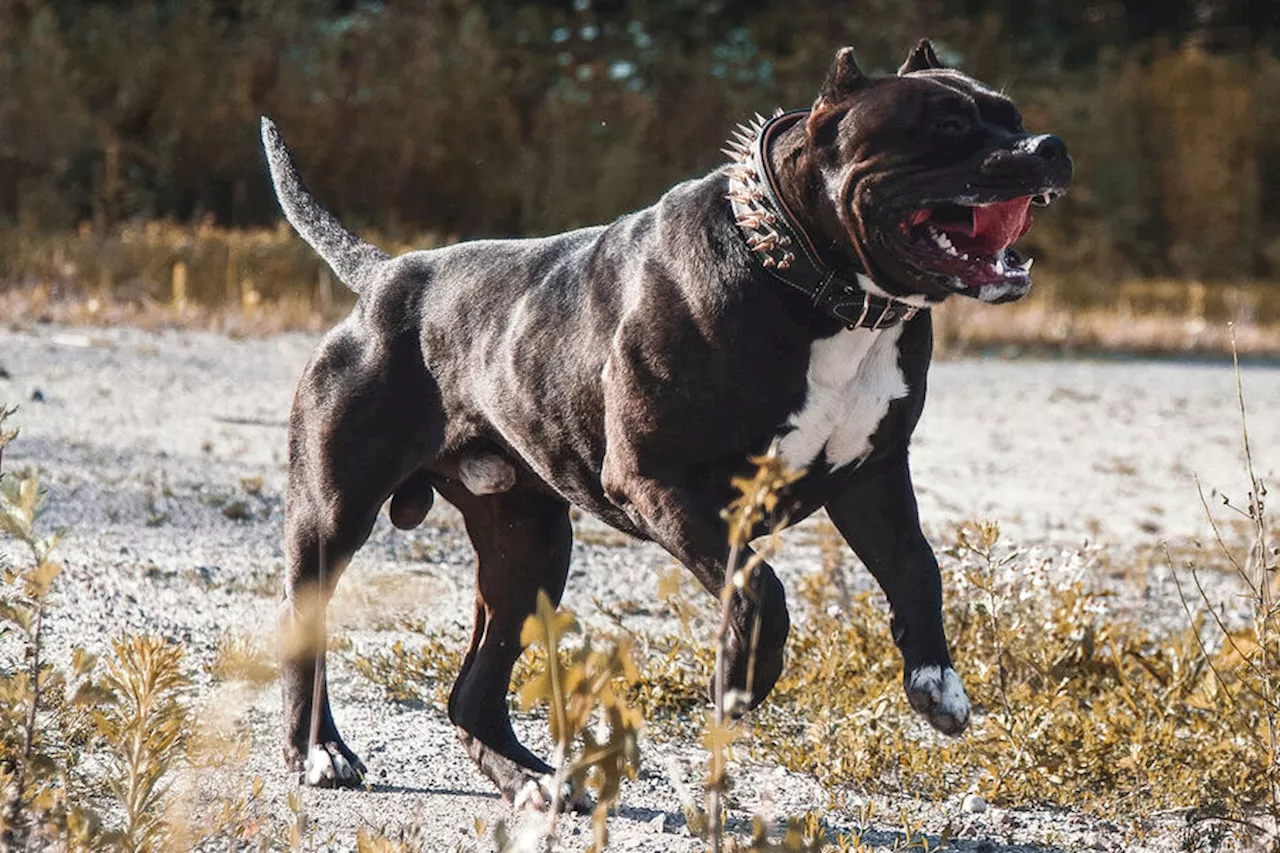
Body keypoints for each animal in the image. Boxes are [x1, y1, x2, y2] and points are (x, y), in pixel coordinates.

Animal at [262, 39, 1070, 809]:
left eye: (1013, 115)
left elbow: (917, 569)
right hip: (331, 520)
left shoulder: (871, 479)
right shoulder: (662, 483)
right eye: (947, 126)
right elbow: (759, 587)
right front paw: (745, 675)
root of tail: (385, 275)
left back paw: (532, 780)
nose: (1049, 145)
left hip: (528, 546)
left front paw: (937, 682)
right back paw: (319, 751)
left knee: (472, 691)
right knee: (306, 627)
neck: (812, 279)